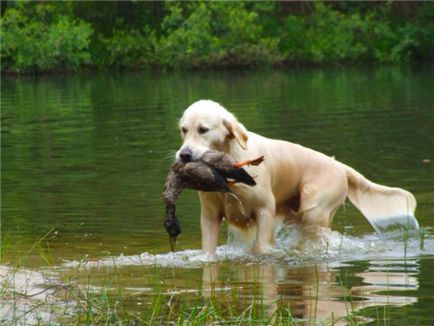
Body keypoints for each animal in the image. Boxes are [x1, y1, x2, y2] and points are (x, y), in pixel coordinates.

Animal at [175, 99, 418, 255]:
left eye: (203, 129)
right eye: (183, 129)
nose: (184, 155)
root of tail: (340, 166)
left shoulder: (264, 210)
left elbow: (261, 248)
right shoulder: (210, 216)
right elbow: (208, 253)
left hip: (314, 210)